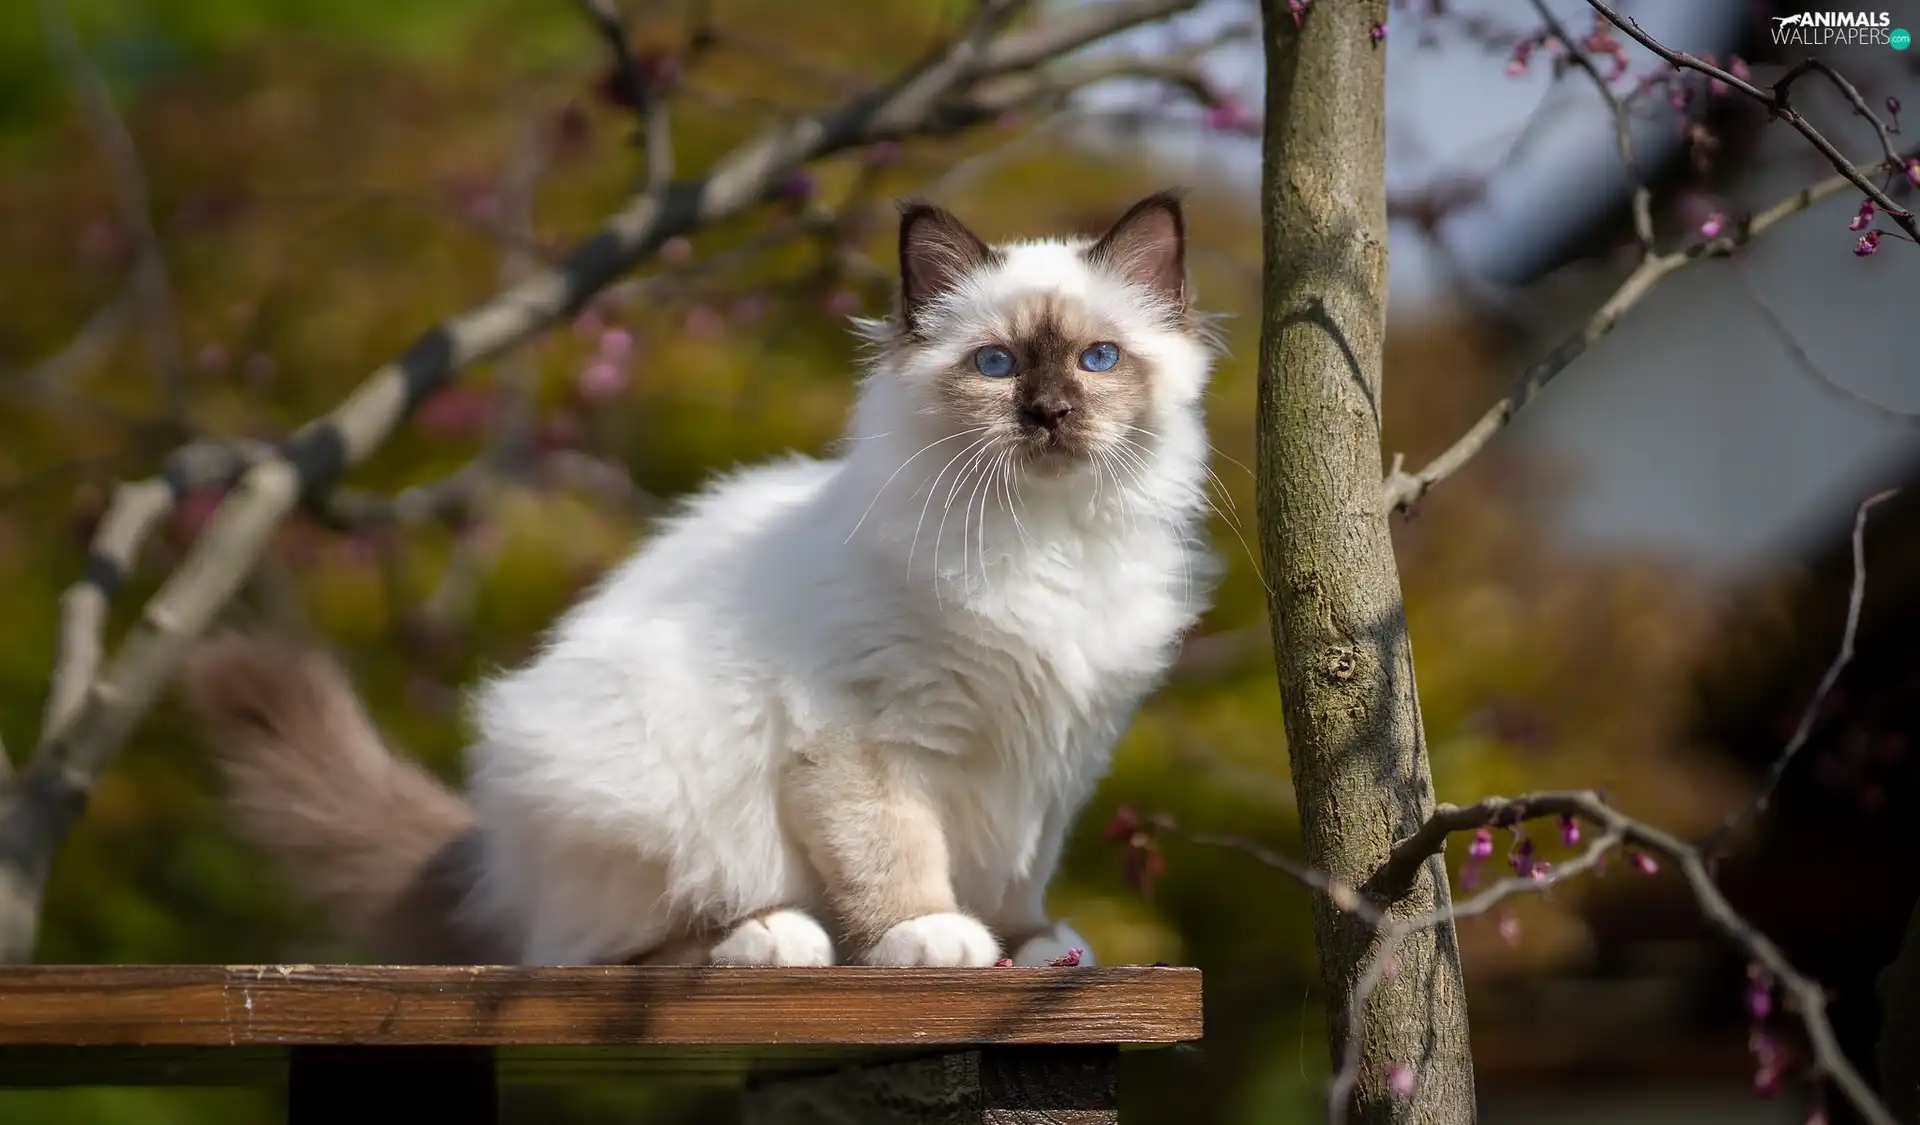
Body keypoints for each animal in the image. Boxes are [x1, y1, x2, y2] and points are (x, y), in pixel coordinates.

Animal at [191, 190, 1213, 963]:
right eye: (995, 364)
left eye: (1097, 359)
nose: (1046, 414)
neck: (1048, 540)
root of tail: (495, 864)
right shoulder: (865, 737)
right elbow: (897, 855)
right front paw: (932, 936)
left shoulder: (1056, 758)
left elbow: (1019, 875)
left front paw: (1033, 947)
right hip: (647, 784)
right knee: (603, 951)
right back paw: (774, 937)